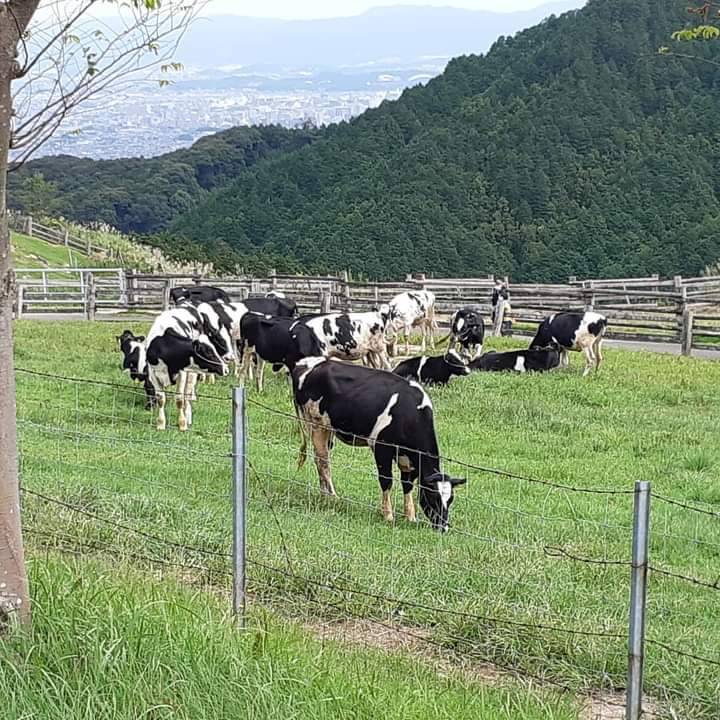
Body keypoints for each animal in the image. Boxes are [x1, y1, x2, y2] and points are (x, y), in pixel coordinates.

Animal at [292, 358, 466, 532]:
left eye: (450, 499)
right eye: (433, 496)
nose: (443, 527)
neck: (409, 414)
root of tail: (311, 363)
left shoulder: (408, 459)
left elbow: (407, 484)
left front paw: (410, 517)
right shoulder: (382, 447)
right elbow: (386, 480)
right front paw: (388, 516)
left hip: (328, 430)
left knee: (322, 460)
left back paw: (325, 495)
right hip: (316, 424)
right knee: (322, 461)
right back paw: (332, 497)